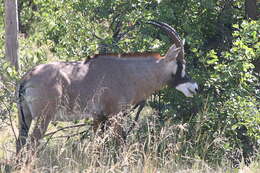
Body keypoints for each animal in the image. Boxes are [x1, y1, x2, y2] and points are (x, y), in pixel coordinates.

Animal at [16, 21, 198, 153]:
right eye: (181, 66)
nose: (195, 87)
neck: (128, 72)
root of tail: (27, 77)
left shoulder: (98, 118)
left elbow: (97, 146)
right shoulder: (115, 115)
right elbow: (120, 142)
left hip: (25, 117)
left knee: (20, 143)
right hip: (43, 117)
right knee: (31, 145)